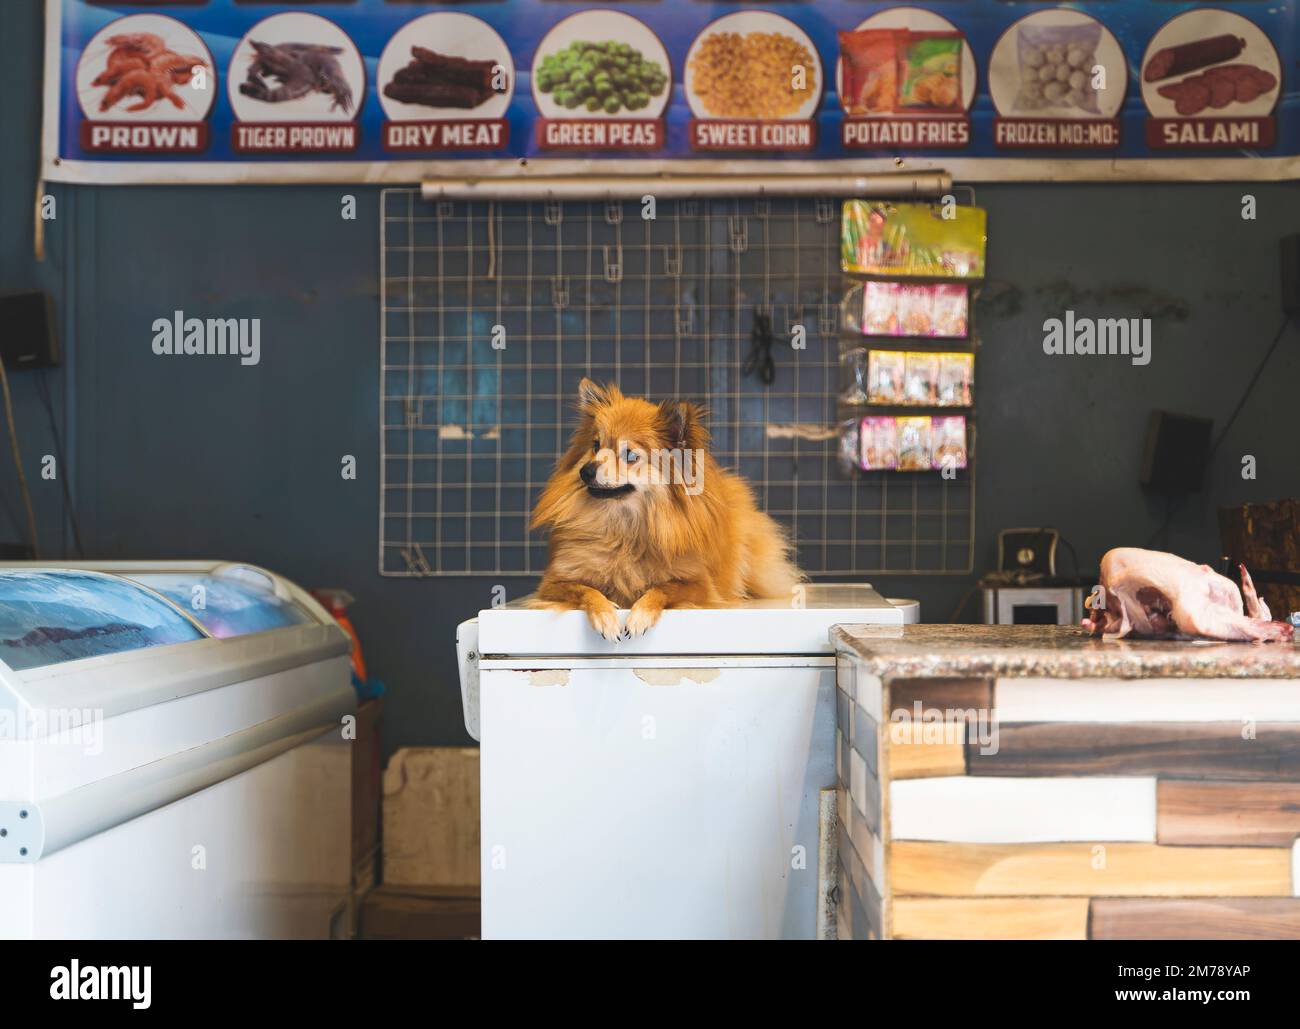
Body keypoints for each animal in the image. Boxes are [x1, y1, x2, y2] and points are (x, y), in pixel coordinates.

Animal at [530, 376, 800, 634]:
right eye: (596, 446)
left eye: (630, 455)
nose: (586, 470)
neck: (624, 529)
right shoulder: (553, 583)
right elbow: (585, 590)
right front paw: (604, 615)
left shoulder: (698, 584)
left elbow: (664, 589)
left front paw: (640, 615)